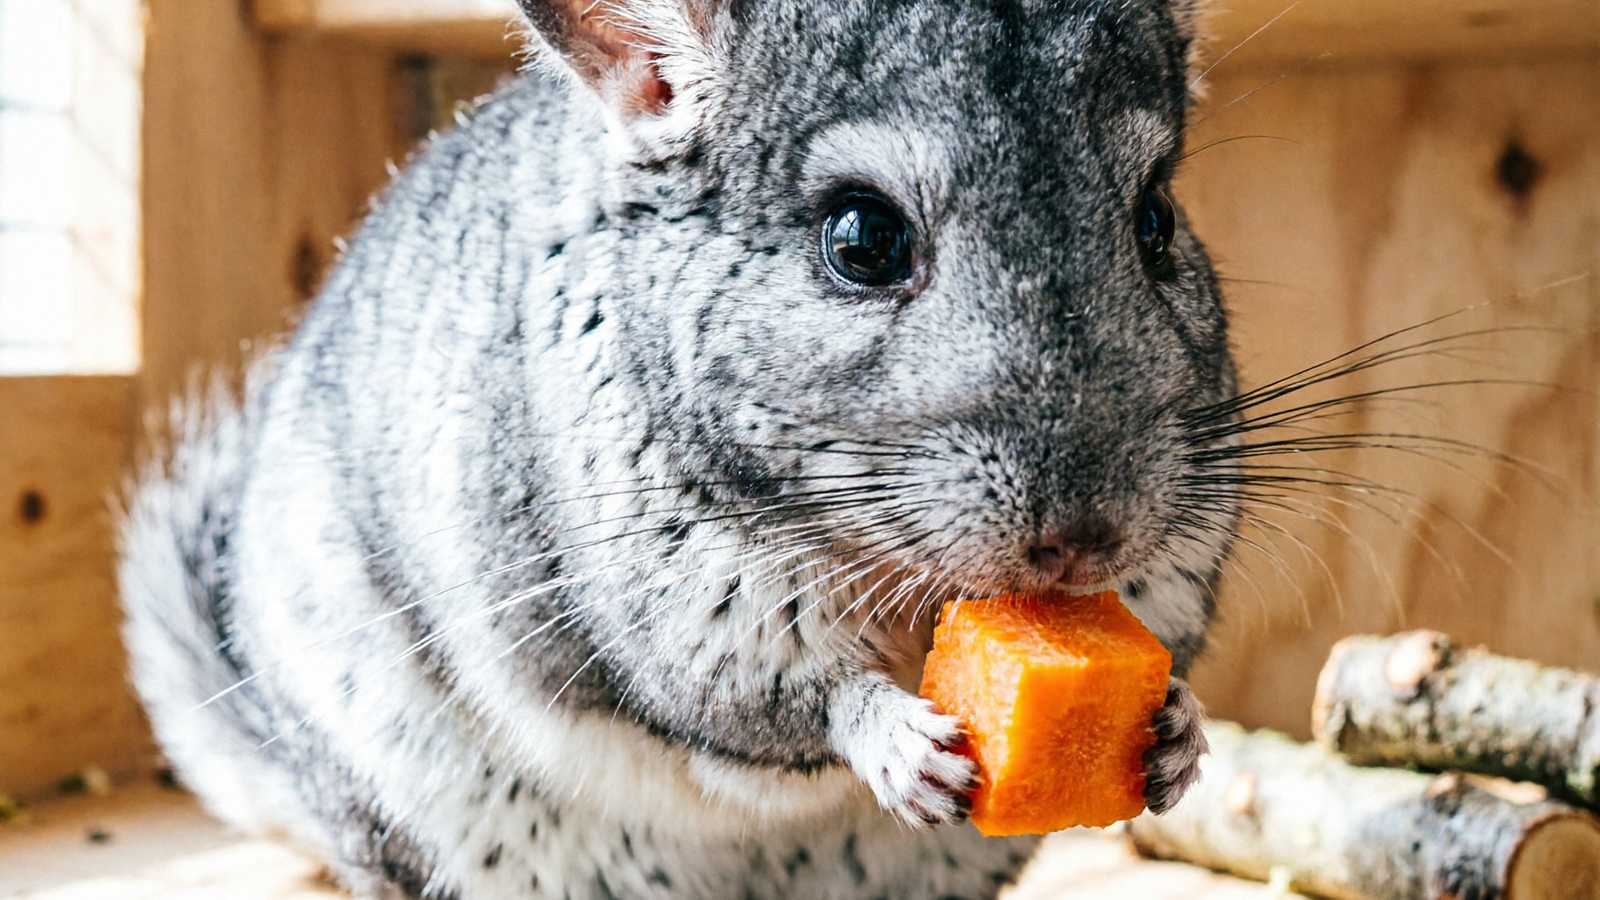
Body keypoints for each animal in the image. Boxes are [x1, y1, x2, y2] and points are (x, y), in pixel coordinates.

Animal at [118, 0, 1234, 897]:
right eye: (862, 238)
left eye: (1154, 219)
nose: (1088, 544)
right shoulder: (675, 585)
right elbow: (798, 694)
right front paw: (902, 744)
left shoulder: (1187, 541)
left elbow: (1165, 639)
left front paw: (1179, 733)